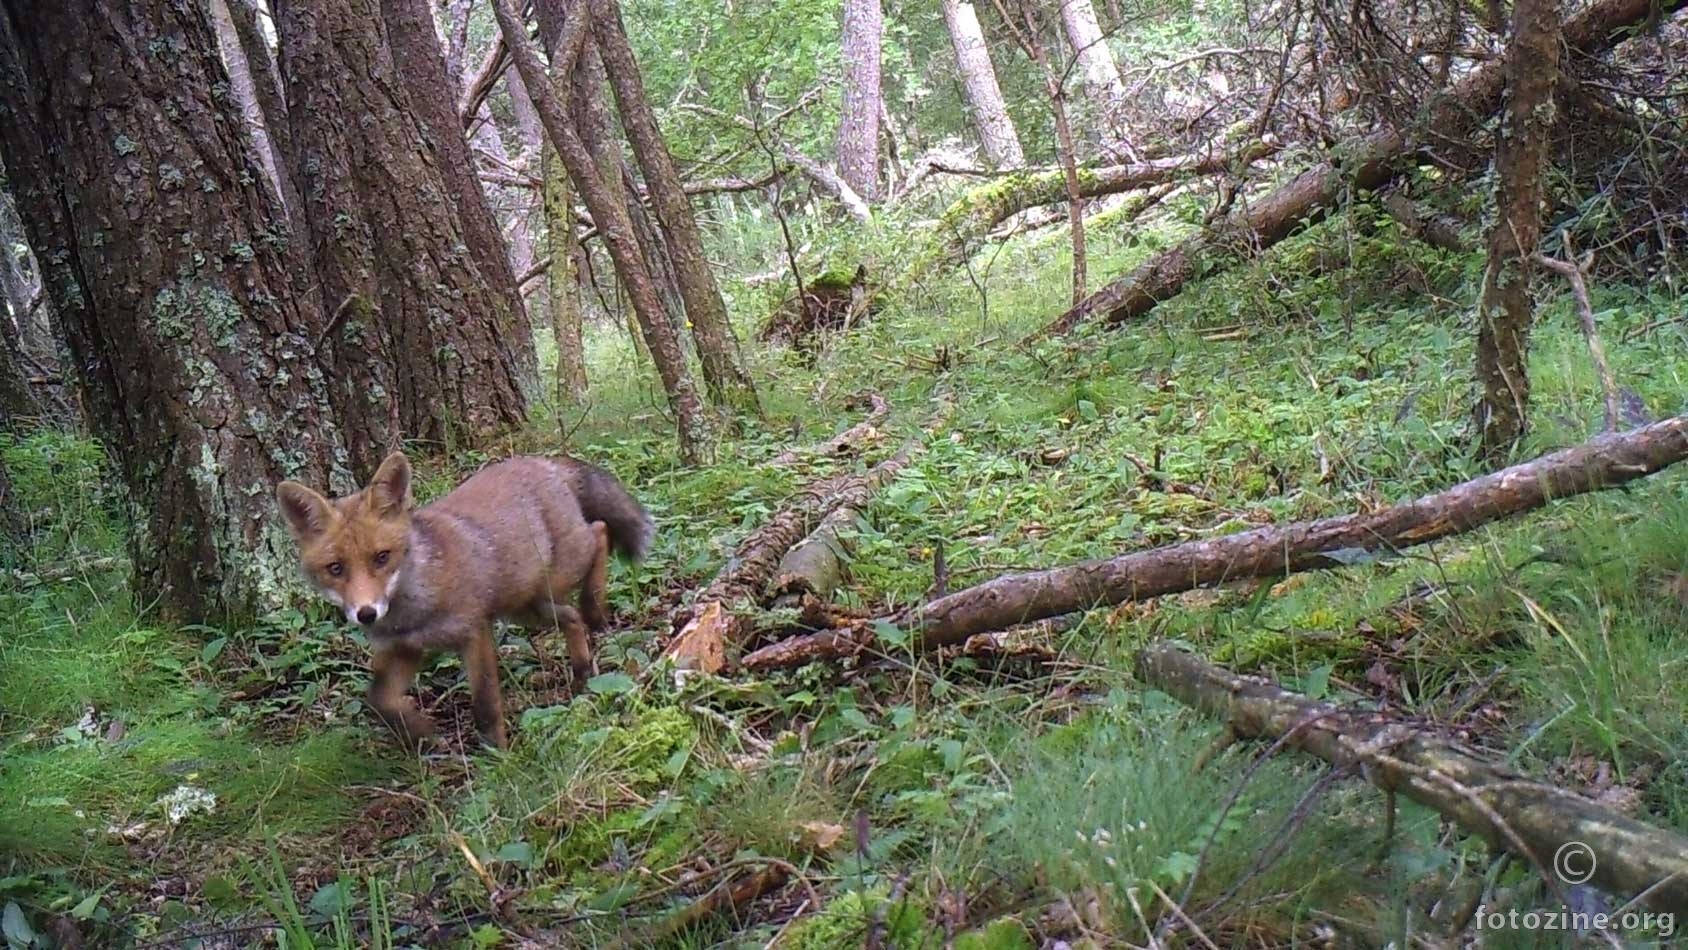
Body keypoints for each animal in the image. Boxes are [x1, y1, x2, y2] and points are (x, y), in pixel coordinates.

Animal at [273, 452, 648, 752]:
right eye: (335, 568)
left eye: (382, 557)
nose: (366, 613)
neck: (414, 610)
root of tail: (545, 461)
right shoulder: (407, 649)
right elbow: (379, 700)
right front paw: (421, 733)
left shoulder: (473, 634)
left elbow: (485, 706)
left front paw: (497, 757)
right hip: (528, 608)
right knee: (570, 617)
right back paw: (582, 671)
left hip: (559, 575)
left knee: (599, 532)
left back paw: (594, 608)